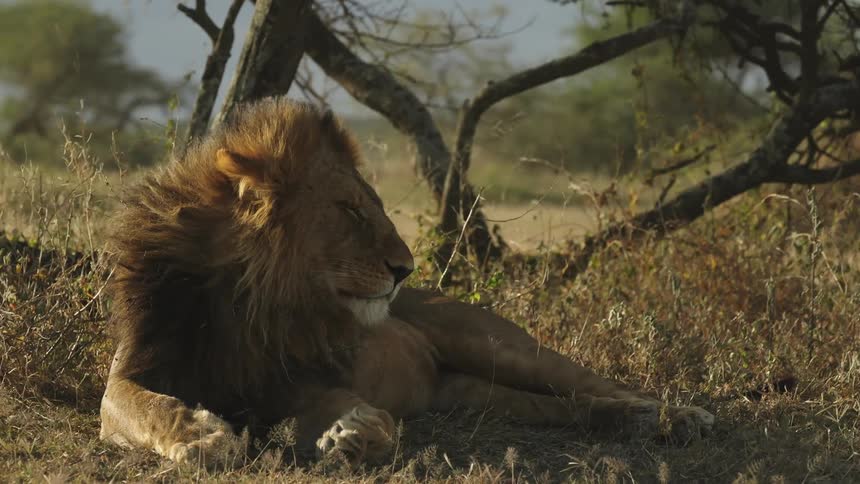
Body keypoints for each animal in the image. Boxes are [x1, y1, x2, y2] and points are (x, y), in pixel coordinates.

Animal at [99, 97, 714, 468]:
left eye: (373, 205)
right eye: (350, 210)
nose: (406, 269)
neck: (251, 303)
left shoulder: (303, 379)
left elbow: (354, 409)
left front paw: (354, 432)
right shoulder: (134, 371)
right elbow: (142, 405)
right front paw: (201, 437)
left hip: (499, 345)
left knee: (602, 385)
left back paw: (675, 418)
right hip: (477, 392)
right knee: (572, 407)